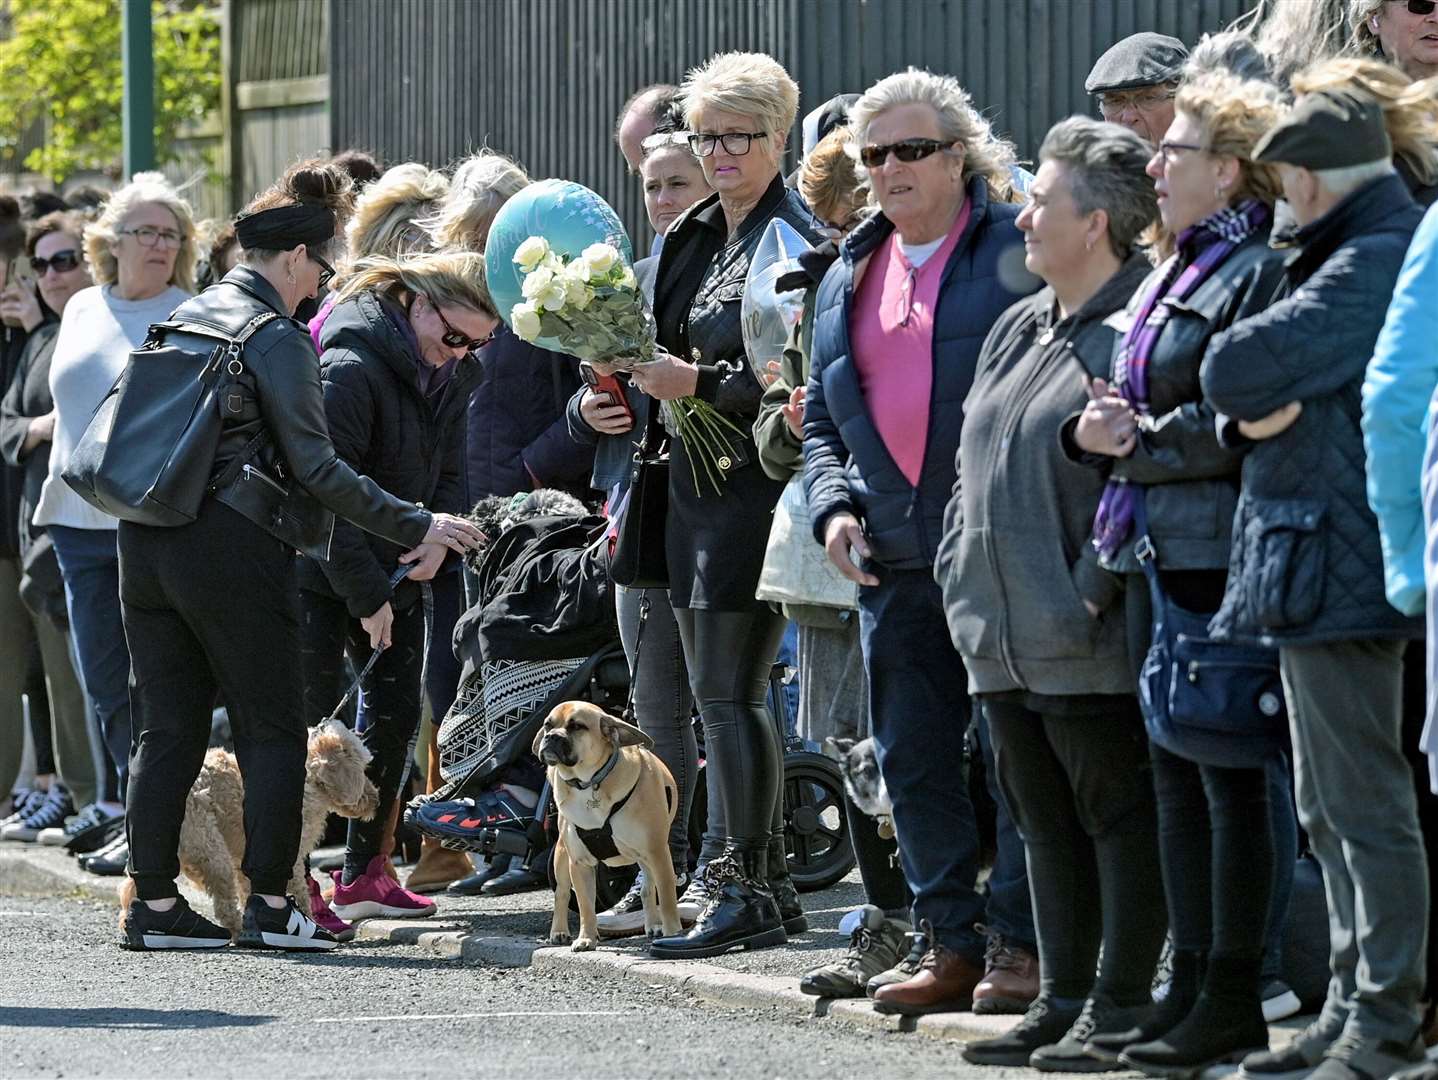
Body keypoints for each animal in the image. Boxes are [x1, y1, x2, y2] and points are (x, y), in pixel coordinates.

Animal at [120, 719, 376, 937]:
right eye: (362, 768)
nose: (376, 798)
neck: (309, 775)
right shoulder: (289, 856)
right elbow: (298, 890)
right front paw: (307, 920)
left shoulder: (245, 858)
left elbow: (249, 889)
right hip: (211, 851)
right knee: (223, 906)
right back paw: (234, 930)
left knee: (133, 886)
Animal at [537, 701, 681, 943]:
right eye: (548, 725)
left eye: (577, 726)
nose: (551, 736)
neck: (589, 781)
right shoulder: (579, 864)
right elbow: (586, 906)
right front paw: (586, 938)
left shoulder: (657, 853)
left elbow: (667, 895)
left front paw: (672, 933)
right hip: (561, 855)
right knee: (562, 893)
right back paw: (559, 930)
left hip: (646, 858)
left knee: (648, 889)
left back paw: (653, 924)